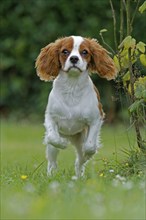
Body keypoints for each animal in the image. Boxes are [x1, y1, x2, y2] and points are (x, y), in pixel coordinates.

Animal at [35, 35, 116, 177]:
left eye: (84, 52)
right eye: (65, 51)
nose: (74, 58)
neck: (72, 86)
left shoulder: (96, 119)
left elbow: (90, 147)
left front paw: (87, 153)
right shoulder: (50, 117)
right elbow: (53, 138)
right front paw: (62, 143)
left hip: (80, 137)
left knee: (80, 160)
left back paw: (79, 174)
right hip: (52, 149)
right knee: (52, 160)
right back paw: (51, 174)